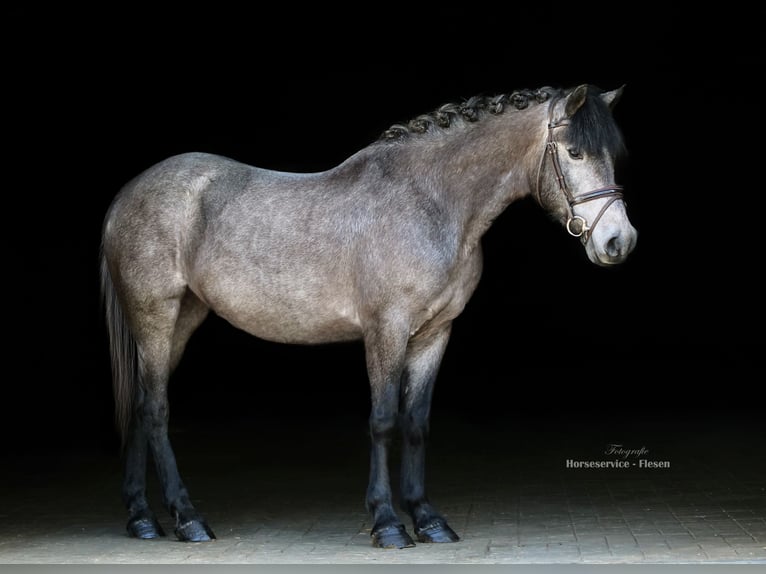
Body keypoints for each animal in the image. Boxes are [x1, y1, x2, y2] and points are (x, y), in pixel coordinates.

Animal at [99, 83, 640, 552]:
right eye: (574, 153)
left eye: (613, 155)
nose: (619, 241)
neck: (431, 201)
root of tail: (126, 195)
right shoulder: (387, 329)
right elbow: (383, 420)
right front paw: (388, 524)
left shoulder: (435, 334)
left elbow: (417, 422)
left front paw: (429, 520)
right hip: (155, 316)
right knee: (155, 410)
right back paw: (187, 520)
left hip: (181, 321)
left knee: (141, 405)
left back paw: (142, 520)